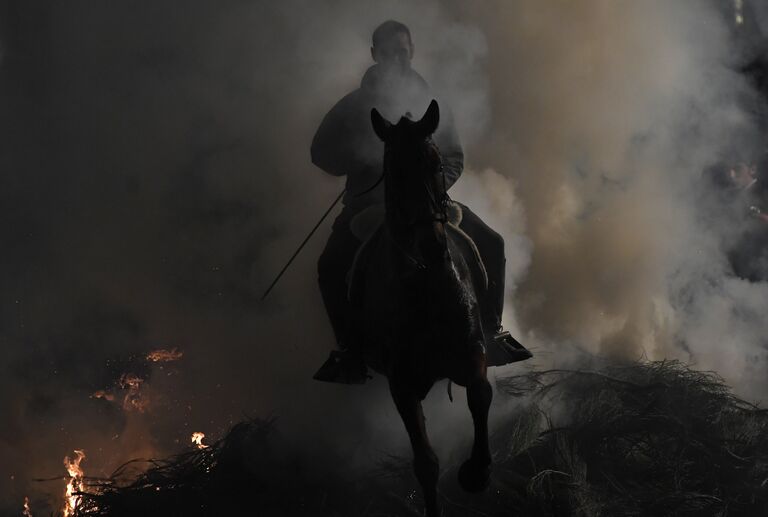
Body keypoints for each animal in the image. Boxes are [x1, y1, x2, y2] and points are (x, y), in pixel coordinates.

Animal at [352, 99, 496, 512]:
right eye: (393, 172)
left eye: (436, 164)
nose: (432, 246)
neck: (427, 286)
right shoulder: (402, 384)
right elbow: (426, 464)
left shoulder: (472, 350)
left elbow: (481, 394)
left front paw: (477, 472)